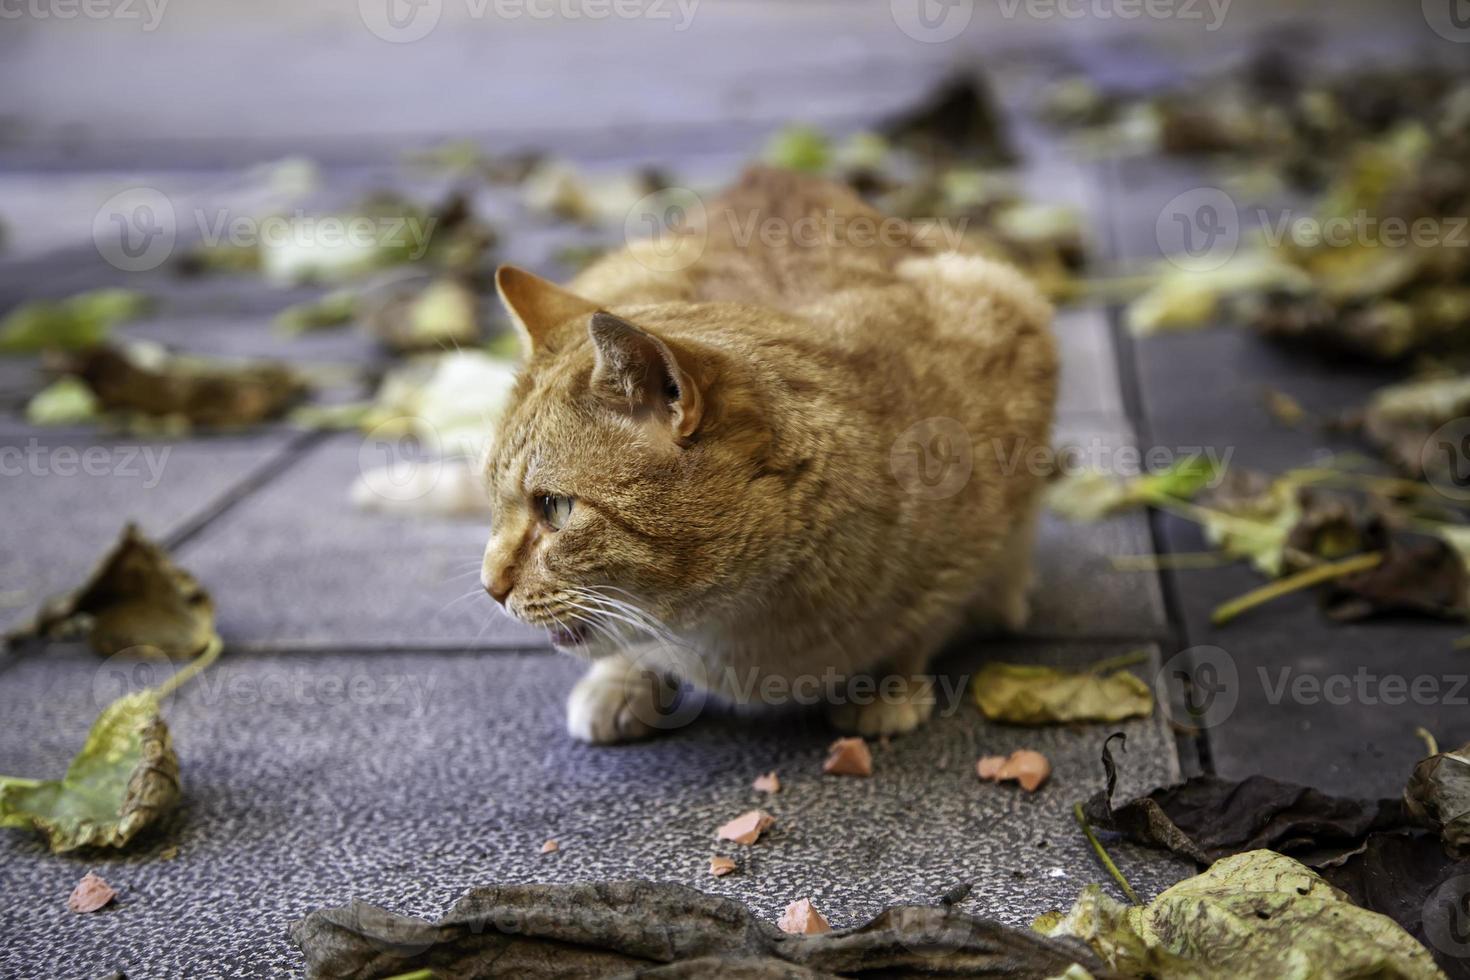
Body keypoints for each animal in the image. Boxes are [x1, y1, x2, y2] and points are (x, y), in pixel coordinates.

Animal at [482, 166, 1058, 743]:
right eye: (494, 501)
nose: (490, 588)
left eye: (555, 508)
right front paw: (621, 679)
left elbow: (925, 619)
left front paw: (889, 687)